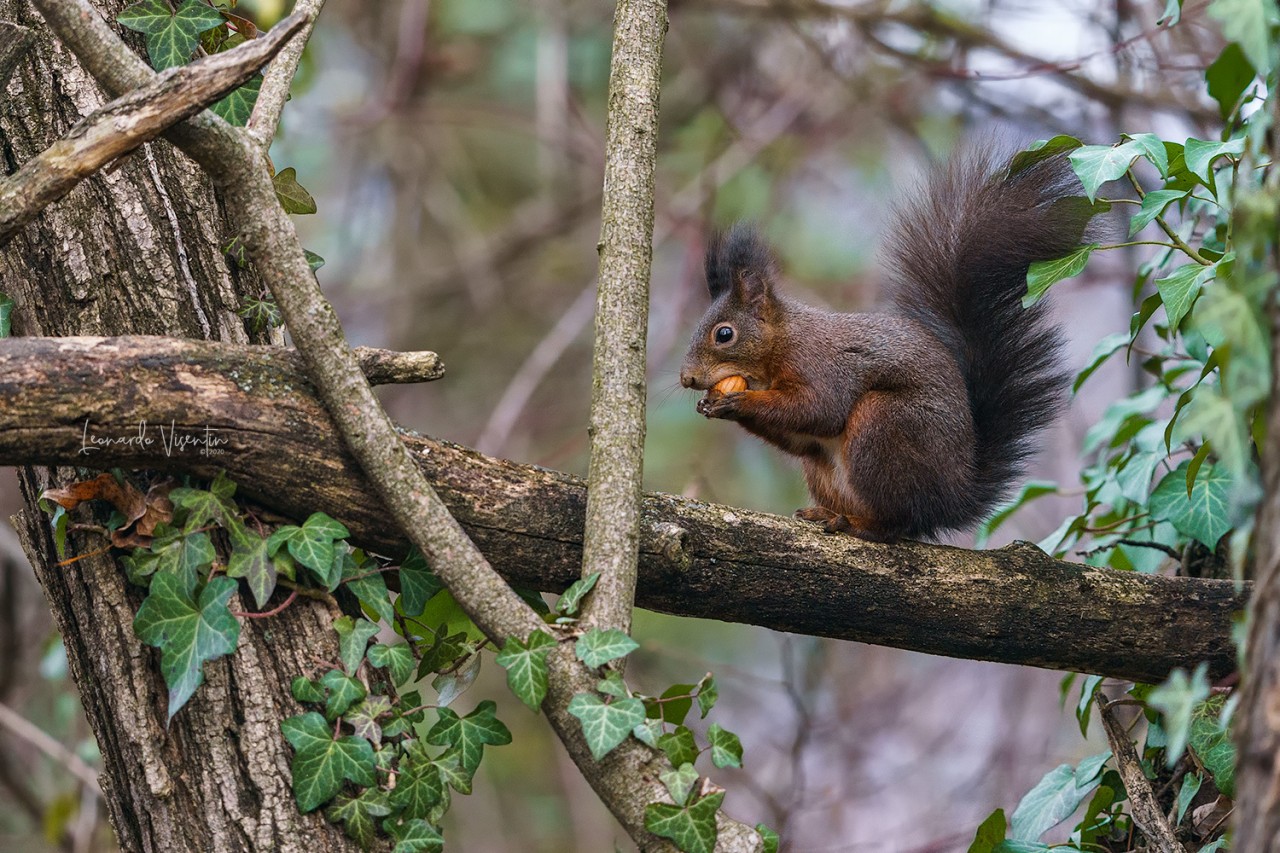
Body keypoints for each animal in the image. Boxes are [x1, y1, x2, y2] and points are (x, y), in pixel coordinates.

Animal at [679, 149, 1096, 542]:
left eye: (724, 334)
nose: (687, 379)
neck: (780, 344)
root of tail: (952, 498)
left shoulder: (820, 365)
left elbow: (819, 409)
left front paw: (738, 401)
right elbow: (799, 435)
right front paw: (712, 405)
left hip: (882, 426)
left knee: (897, 523)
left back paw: (858, 525)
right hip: (823, 466)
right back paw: (825, 513)